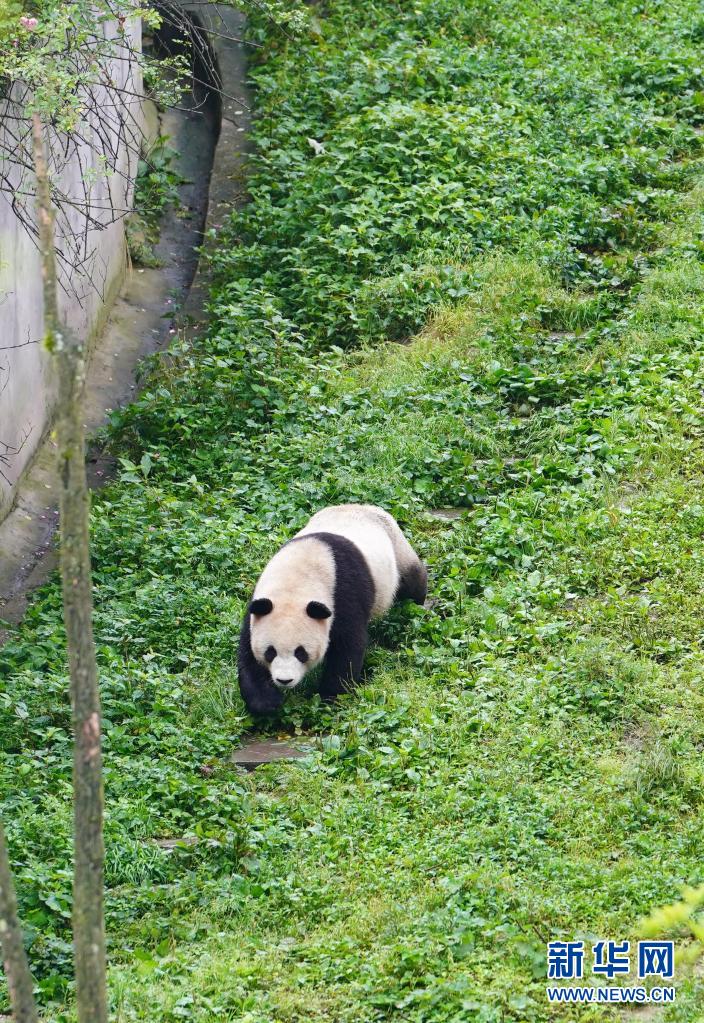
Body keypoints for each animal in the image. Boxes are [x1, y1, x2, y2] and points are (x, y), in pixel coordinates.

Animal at [238, 504, 428, 714]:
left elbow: (347, 647)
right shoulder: (259, 607)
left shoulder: (342, 595)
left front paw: (330, 697)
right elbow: (247, 653)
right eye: (270, 652)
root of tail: (364, 506)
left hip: (397, 549)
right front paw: (266, 702)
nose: (284, 680)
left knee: (412, 581)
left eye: (301, 652)